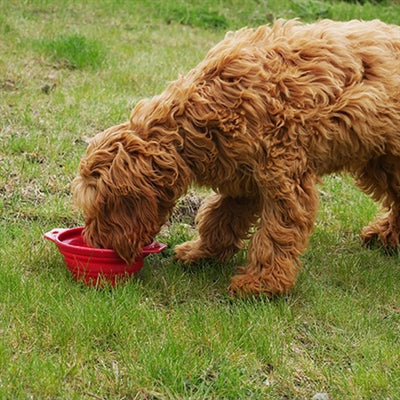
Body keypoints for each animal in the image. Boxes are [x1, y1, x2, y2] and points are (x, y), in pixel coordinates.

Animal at [73, 19, 400, 296]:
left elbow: (277, 231)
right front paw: (202, 252)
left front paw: (262, 283)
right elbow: (219, 219)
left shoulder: (283, 177)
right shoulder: (244, 178)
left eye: (100, 208)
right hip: (380, 159)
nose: (94, 244)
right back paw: (387, 236)